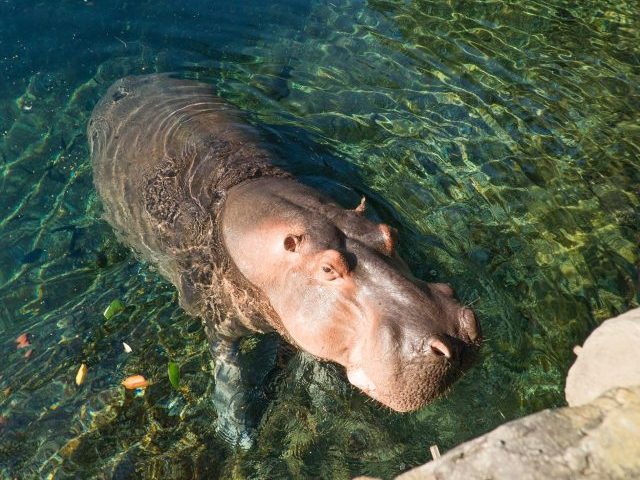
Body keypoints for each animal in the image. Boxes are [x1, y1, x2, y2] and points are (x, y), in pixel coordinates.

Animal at [88, 74, 480, 440]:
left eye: (389, 233)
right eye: (328, 268)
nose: (454, 337)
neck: (238, 201)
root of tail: (128, 80)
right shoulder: (217, 319)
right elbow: (229, 372)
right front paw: (238, 434)